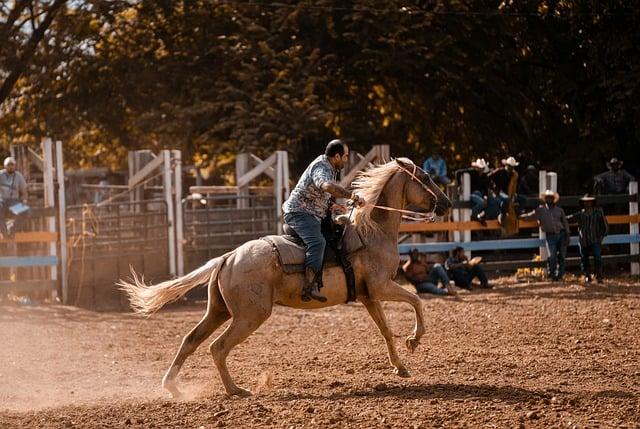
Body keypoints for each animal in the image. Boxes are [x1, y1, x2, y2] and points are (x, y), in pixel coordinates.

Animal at [119, 158, 450, 398]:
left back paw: (173, 387)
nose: (446, 204)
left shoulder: (369, 296)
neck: (372, 231)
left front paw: (400, 367)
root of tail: (228, 257)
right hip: (250, 316)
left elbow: (385, 331)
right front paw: (414, 340)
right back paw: (236, 390)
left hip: (218, 311)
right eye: (426, 177)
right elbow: (417, 300)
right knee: (218, 347)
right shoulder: (382, 287)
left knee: (191, 340)